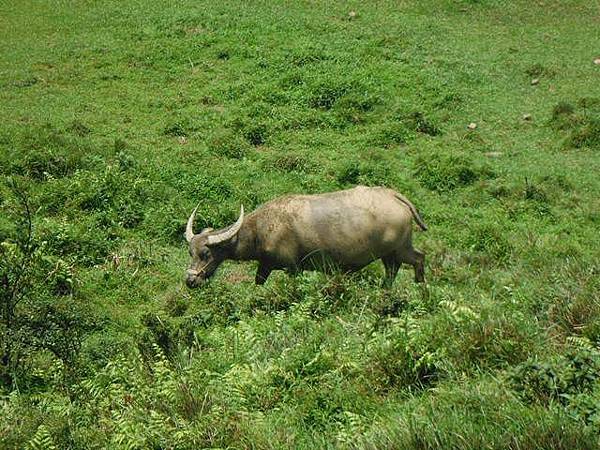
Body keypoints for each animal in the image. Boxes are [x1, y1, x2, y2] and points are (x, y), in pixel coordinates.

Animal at [183, 185, 426, 288]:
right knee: (392, 272)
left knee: (419, 259)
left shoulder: (293, 268)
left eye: (205, 254)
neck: (261, 229)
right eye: (190, 253)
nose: (190, 281)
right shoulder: (265, 265)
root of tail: (393, 195)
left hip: (399, 250)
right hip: (390, 255)